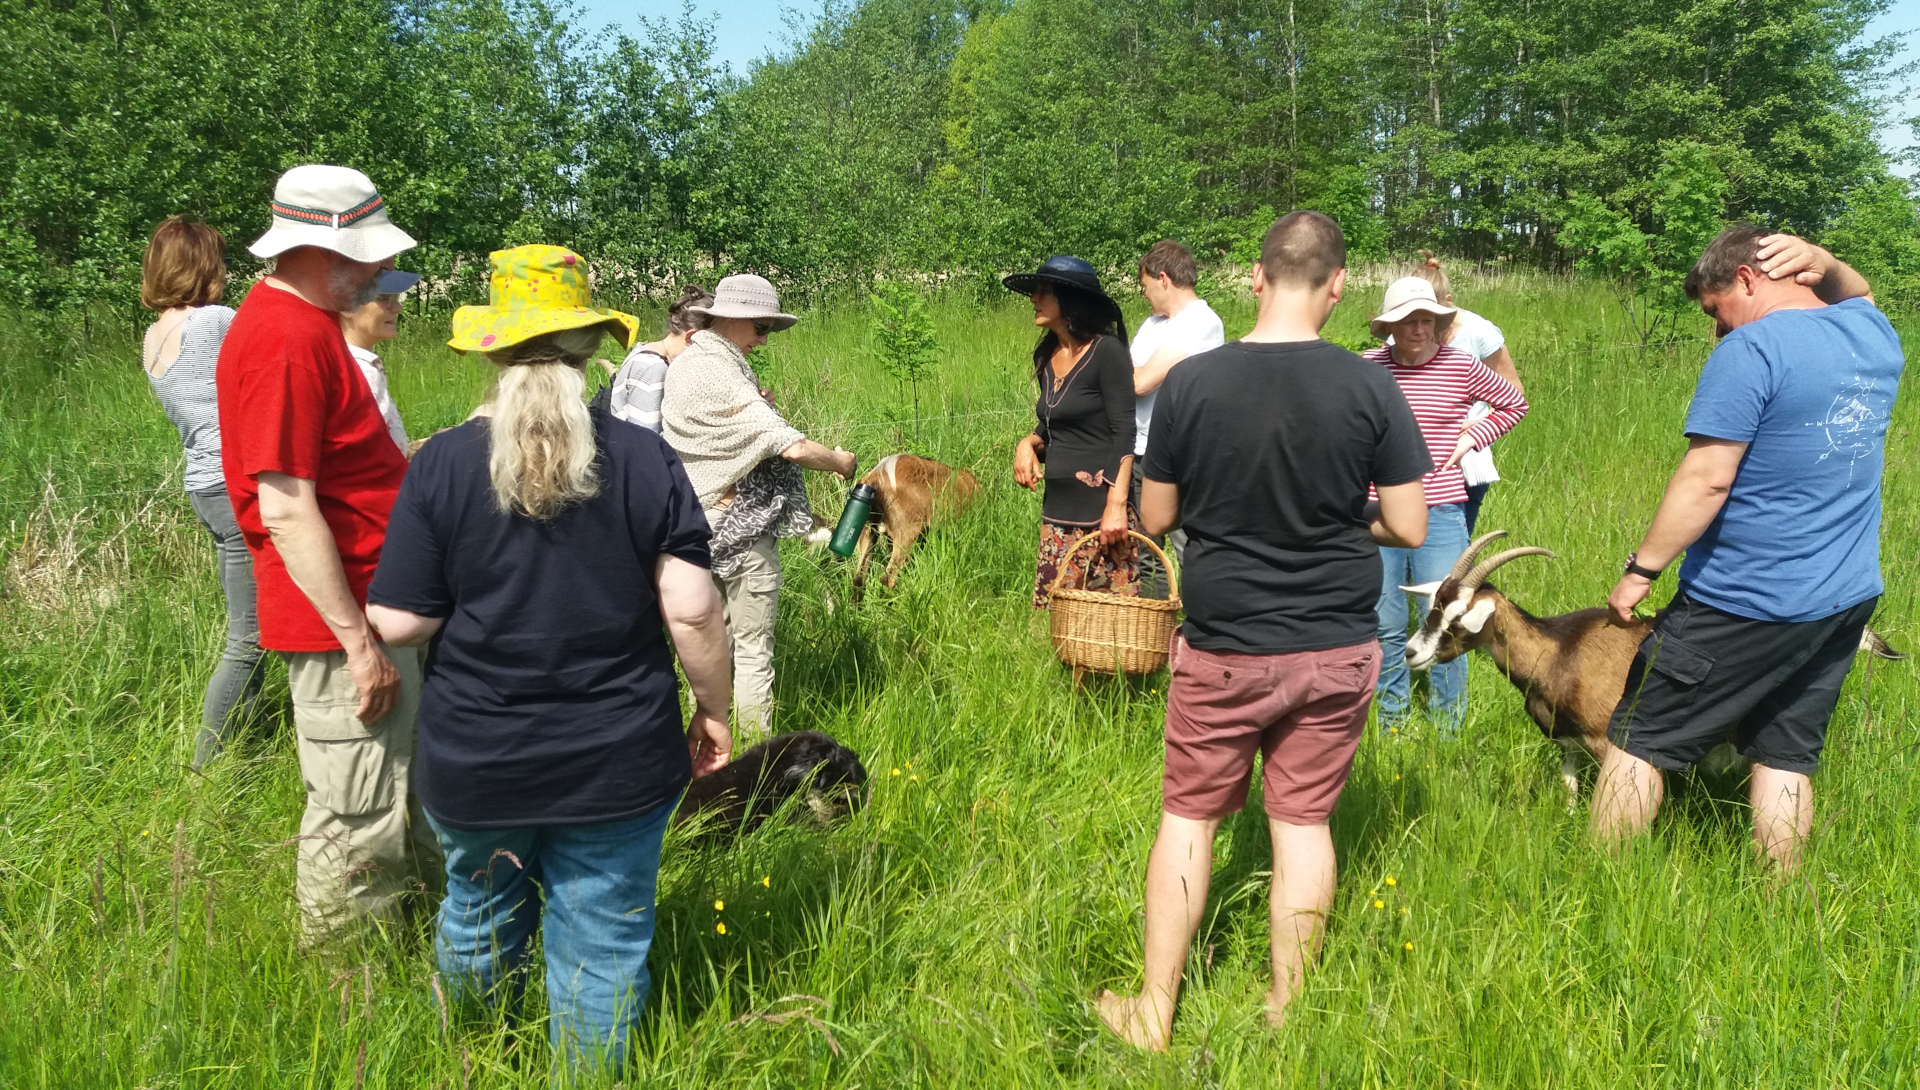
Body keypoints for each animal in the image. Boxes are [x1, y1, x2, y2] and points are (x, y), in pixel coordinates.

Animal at [1397, 533, 1904, 805]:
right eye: (1433, 606)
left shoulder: (1607, 740)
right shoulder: (1568, 745)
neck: (1559, 650)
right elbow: (1569, 790)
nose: (1411, 653)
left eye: (1457, 618)